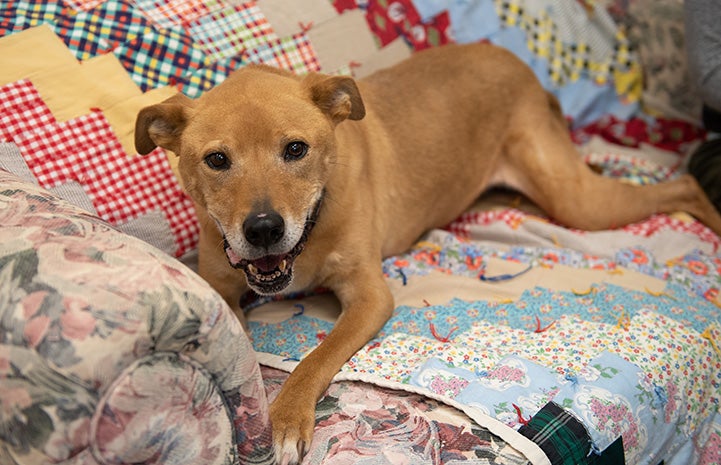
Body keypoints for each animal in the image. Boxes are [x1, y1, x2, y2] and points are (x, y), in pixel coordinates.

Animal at [135, 41, 720, 462]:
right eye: (217, 160)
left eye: (295, 149)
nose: (261, 229)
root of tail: (513, 60)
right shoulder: (222, 290)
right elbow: (241, 355)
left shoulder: (370, 296)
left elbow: (315, 357)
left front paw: (286, 416)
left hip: (578, 200)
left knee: (686, 184)